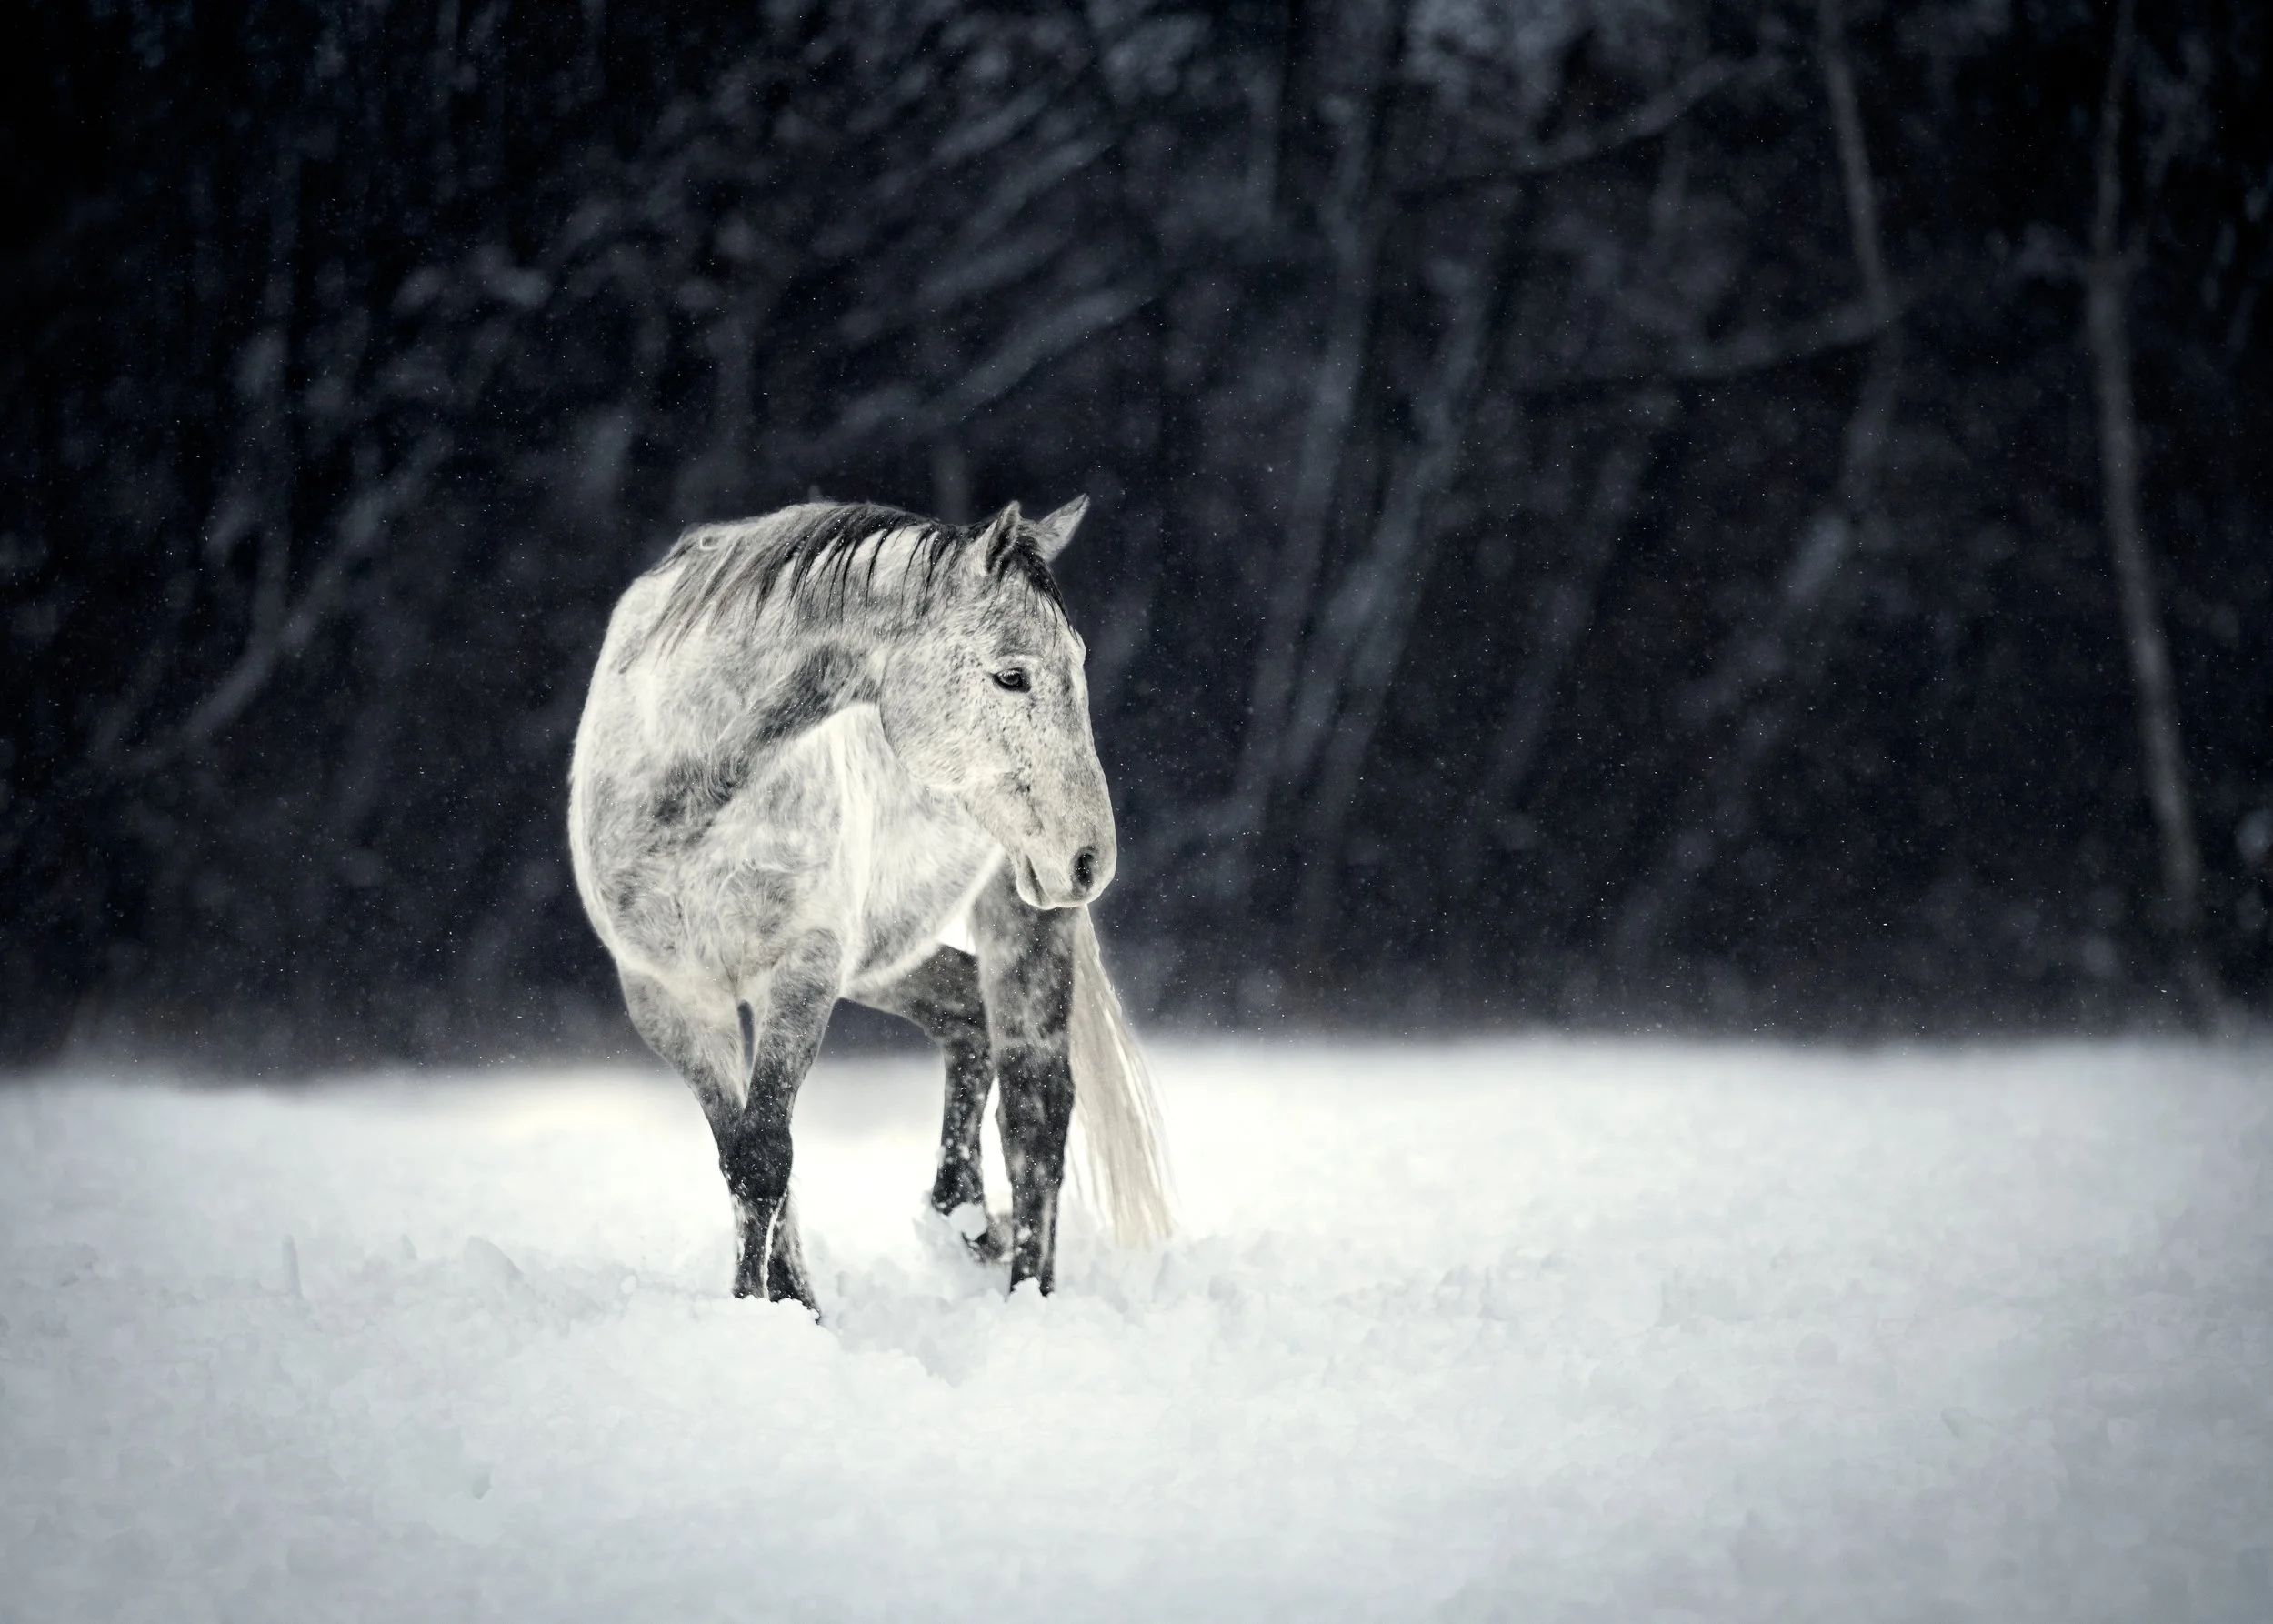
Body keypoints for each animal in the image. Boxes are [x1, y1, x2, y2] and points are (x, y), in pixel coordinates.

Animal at [567, 496, 1172, 1311]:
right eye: (1011, 675)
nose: (1090, 858)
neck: (691, 795)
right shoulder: (670, 998)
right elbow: (743, 1153)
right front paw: (785, 1304)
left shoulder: (805, 970)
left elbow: (765, 1154)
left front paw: (767, 1310)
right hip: (884, 956)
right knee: (967, 1022)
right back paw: (965, 1219)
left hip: (1019, 916)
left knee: (1036, 1107)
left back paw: (1026, 1293)